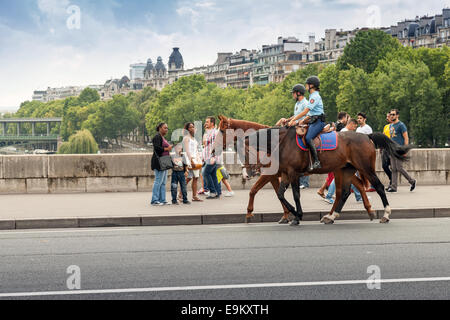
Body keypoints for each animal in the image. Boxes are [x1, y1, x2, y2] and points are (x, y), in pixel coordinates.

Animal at [243, 126, 412, 226]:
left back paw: (386, 214)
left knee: (378, 186)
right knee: (344, 192)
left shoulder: (293, 173)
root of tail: (367, 136)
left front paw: (297, 215)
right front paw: (293, 213)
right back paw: (332, 216)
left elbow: (295, 195)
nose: (247, 173)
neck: (282, 142)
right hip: (346, 169)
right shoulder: (285, 174)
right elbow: (280, 194)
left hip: (365, 168)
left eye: (244, 152)